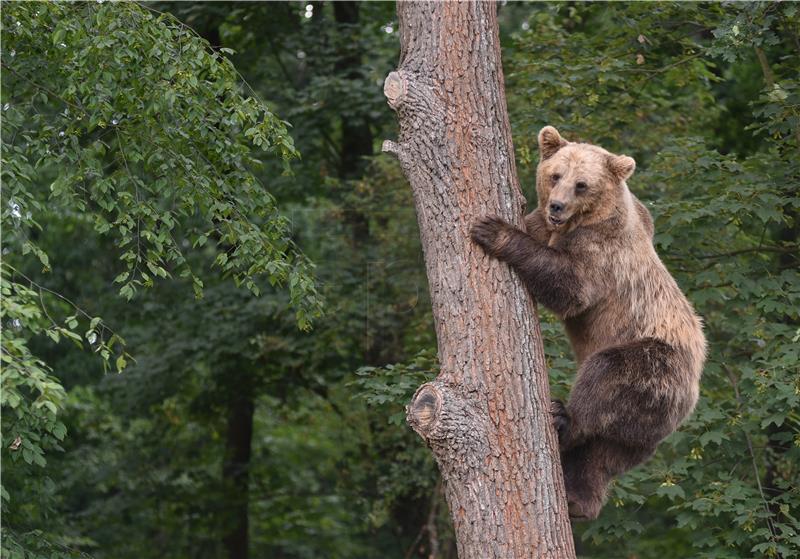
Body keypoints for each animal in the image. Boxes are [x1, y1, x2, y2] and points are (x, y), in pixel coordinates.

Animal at [468, 126, 708, 520]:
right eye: (555, 175)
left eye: (581, 185)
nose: (557, 206)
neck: (583, 221)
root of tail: (692, 394)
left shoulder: (601, 252)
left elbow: (570, 287)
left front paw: (492, 228)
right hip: (643, 429)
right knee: (604, 454)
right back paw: (578, 500)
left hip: (655, 363)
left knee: (604, 379)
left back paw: (563, 419)